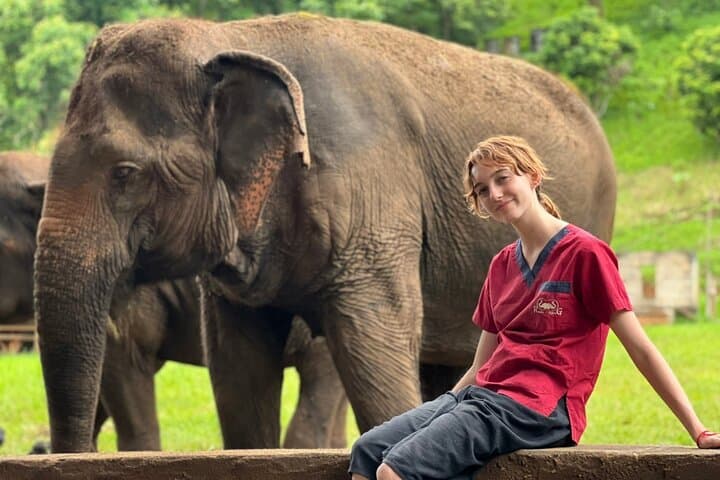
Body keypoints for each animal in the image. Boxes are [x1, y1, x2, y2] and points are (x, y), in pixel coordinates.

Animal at [35, 14, 617, 453]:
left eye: (125, 173)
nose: (51, 452)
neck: (234, 36)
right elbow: (238, 373)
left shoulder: (373, 200)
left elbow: (371, 352)